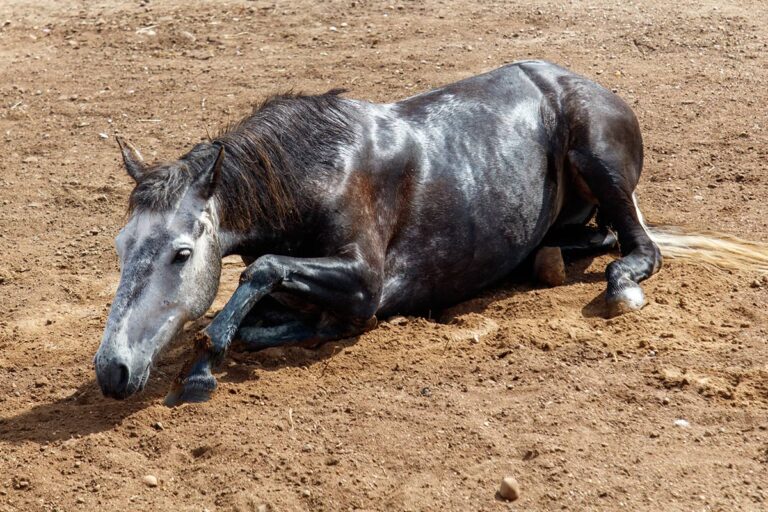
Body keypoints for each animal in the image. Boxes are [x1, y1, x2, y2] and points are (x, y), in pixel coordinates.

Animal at [94, 60, 768, 404]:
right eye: (123, 247)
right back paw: (544, 259)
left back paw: (621, 284)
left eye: (182, 253)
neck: (314, 170)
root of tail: (596, 87)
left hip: (598, 158)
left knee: (636, 245)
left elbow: (263, 276)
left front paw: (204, 368)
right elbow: (262, 310)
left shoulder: (364, 286)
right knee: (592, 238)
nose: (112, 371)